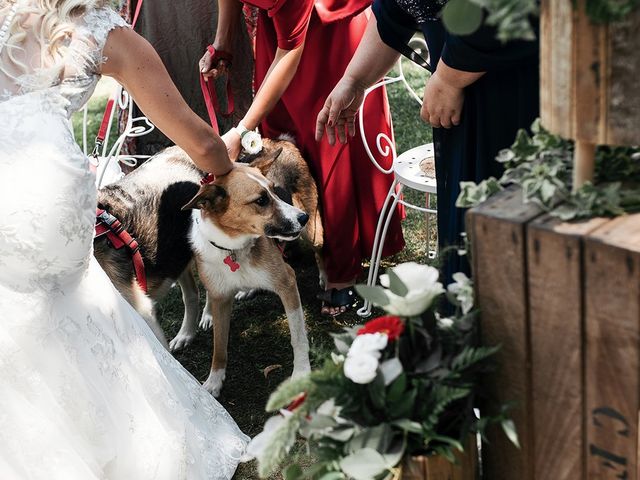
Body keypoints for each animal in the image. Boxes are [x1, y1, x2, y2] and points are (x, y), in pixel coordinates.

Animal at [92, 138, 322, 394]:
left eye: (274, 192)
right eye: (261, 200)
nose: (300, 218)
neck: (233, 250)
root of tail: (277, 141)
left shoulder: (287, 282)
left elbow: (298, 336)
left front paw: (301, 373)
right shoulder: (219, 297)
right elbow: (218, 346)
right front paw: (213, 381)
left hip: (313, 232)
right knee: (193, 294)